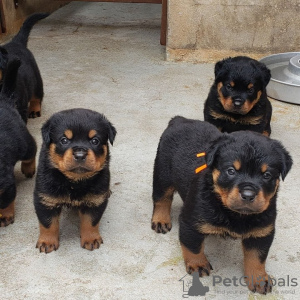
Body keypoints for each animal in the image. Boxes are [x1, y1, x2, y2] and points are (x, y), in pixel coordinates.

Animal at [33, 108, 116, 253]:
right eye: (64, 140)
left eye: (95, 141)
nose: (80, 154)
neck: (74, 181)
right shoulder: (45, 199)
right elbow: (48, 223)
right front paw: (47, 242)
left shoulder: (95, 200)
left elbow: (91, 221)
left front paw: (91, 239)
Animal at [151, 116, 292, 294]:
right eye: (231, 171)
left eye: (266, 175)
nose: (248, 195)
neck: (234, 213)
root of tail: (181, 120)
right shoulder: (191, 222)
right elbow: (193, 246)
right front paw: (198, 264)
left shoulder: (262, 232)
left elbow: (257, 257)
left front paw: (259, 278)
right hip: (162, 173)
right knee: (162, 199)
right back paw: (161, 220)